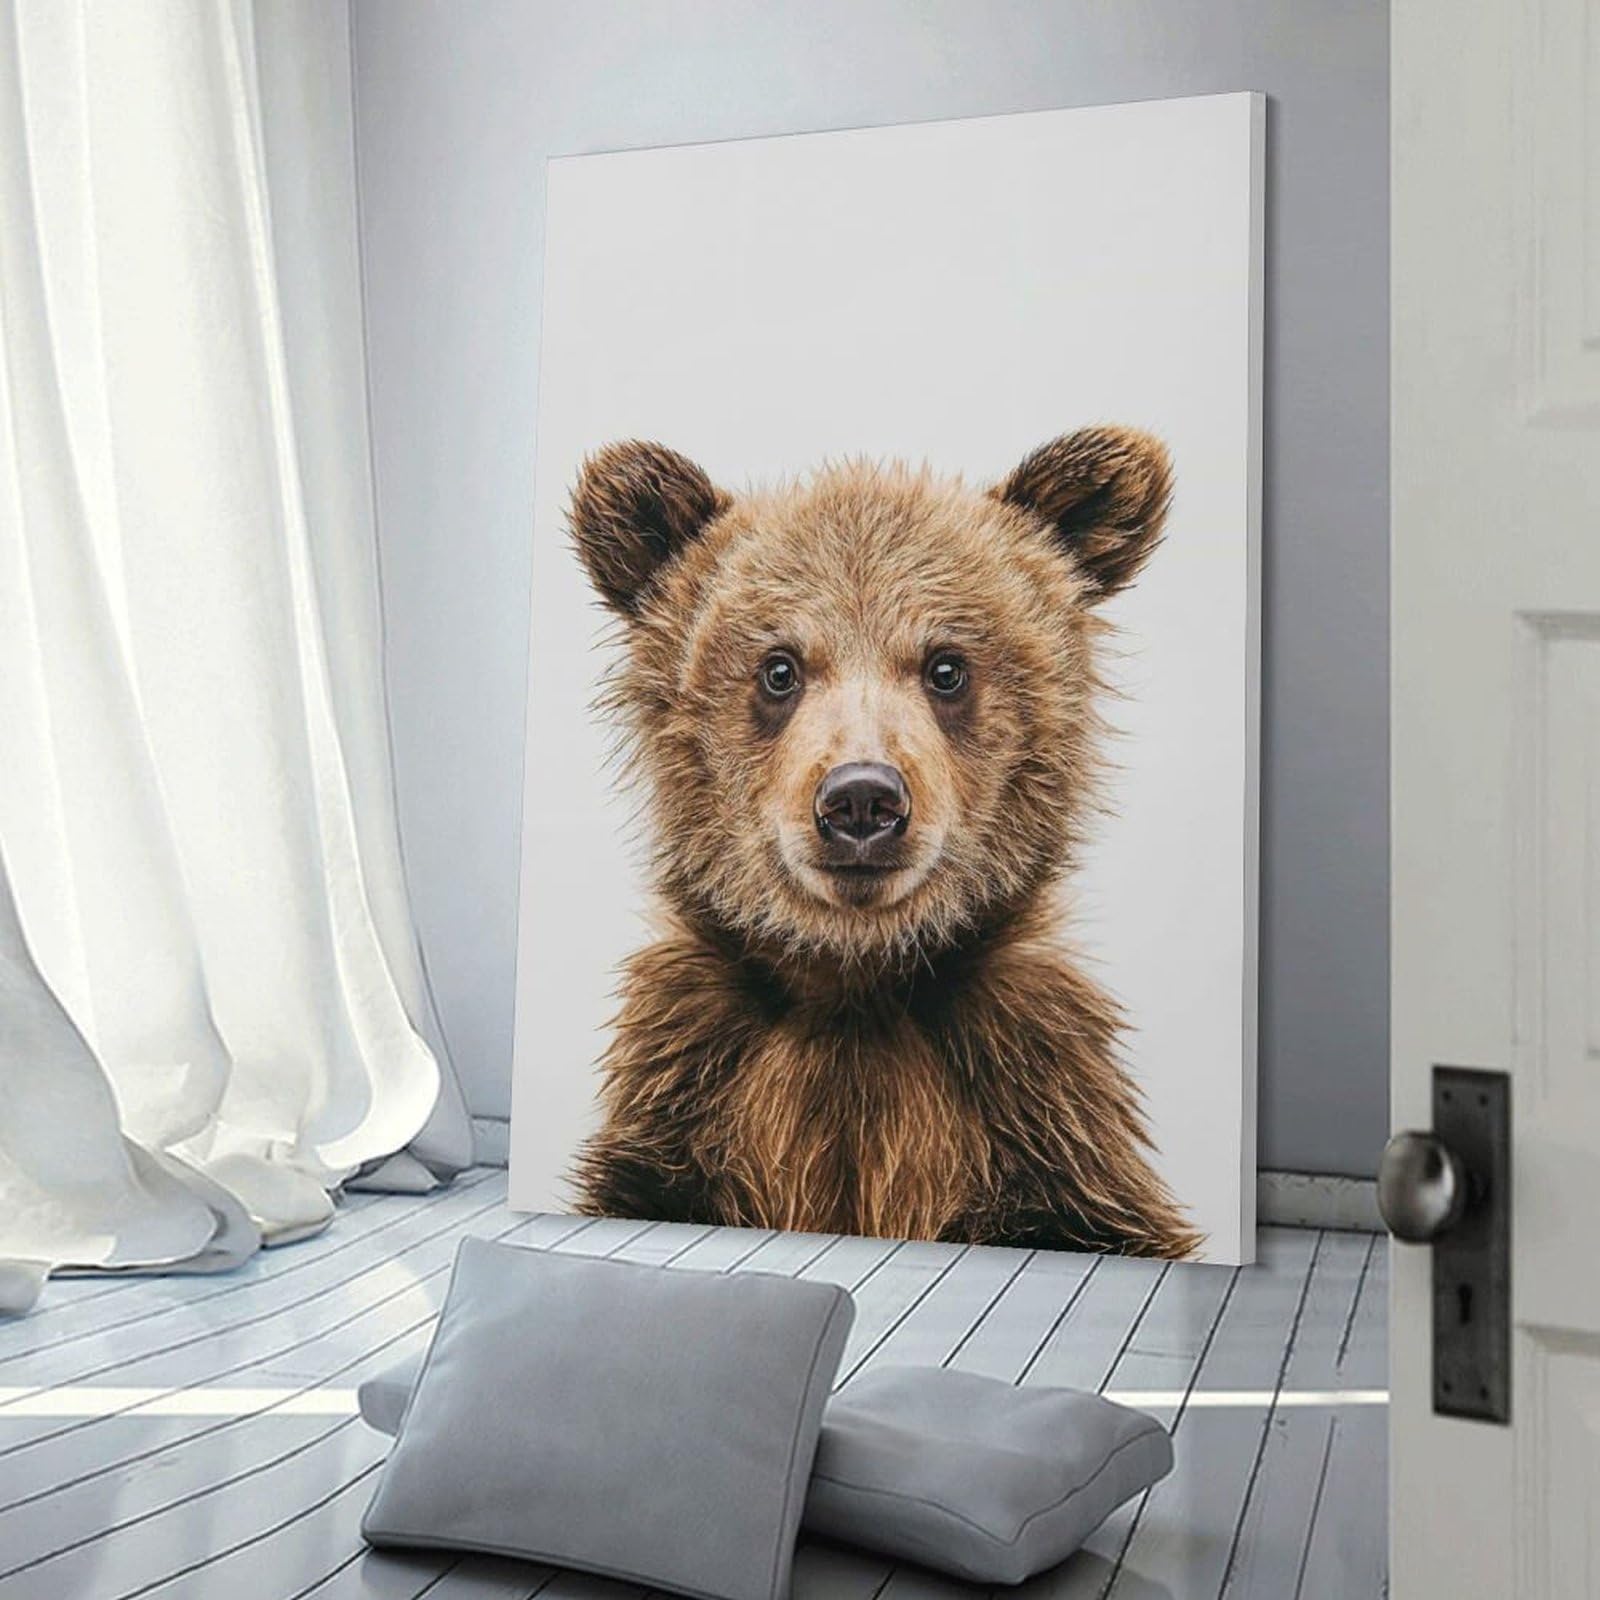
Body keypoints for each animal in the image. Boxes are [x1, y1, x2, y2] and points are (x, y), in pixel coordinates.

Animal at [563, 427, 1202, 1259]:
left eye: (946, 666)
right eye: (779, 668)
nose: (861, 798)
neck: (856, 985)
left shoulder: (1034, 1109)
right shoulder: (691, 1091)